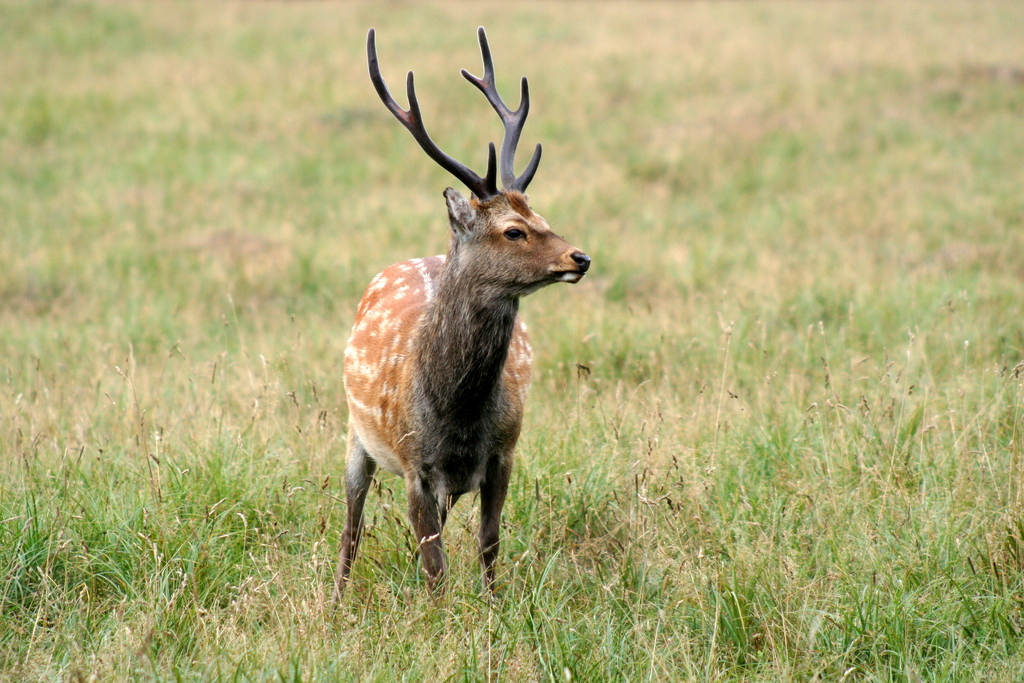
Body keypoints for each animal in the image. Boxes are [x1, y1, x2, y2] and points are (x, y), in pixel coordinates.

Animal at [333, 29, 589, 602]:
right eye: (513, 230)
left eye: (543, 216)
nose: (580, 257)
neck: (459, 413)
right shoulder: (413, 462)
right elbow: (435, 565)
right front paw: (438, 615)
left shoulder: (504, 451)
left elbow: (487, 544)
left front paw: (494, 608)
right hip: (356, 434)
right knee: (350, 526)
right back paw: (336, 599)